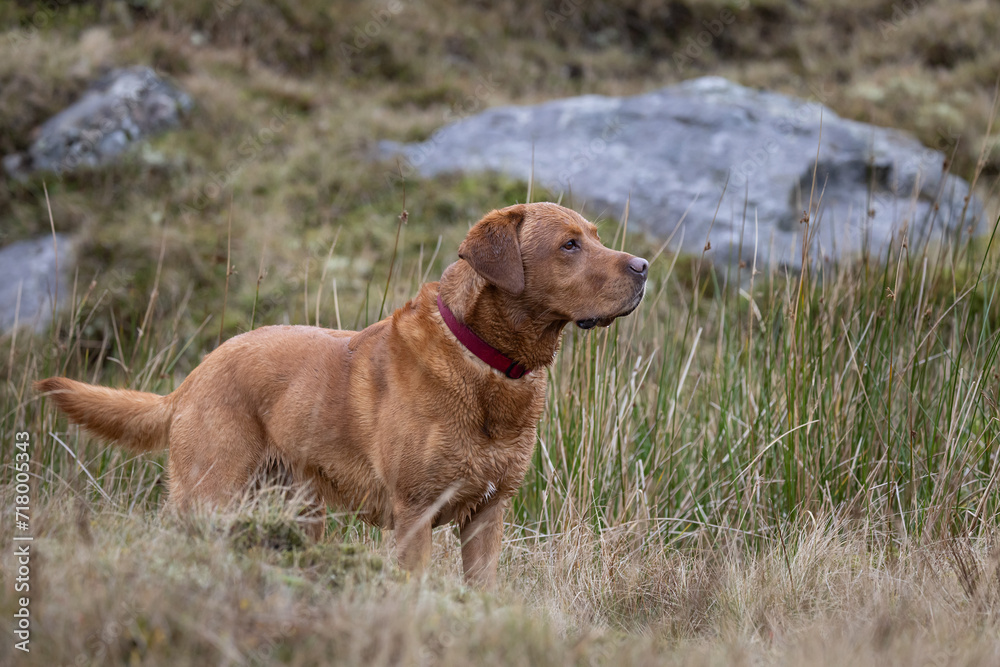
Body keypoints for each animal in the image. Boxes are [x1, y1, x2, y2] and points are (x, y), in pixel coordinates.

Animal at [35, 202, 648, 584]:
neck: (488, 364)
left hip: (296, 510)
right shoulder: (414, 514)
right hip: (209, 494)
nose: (644, 266)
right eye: (569, 245)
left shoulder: (487, 515)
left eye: (595, 236)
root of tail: (194, 376)